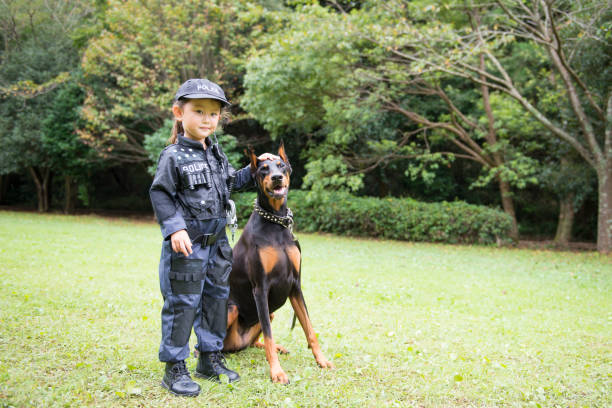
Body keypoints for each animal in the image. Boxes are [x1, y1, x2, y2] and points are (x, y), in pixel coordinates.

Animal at [222, 143, 332, 382]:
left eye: (281, 165)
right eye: (263, 169)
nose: (276, 177)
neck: (276, 222)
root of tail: (235, 344)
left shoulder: (295, 285)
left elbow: (309, 329)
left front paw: (322, 360)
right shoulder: (260, 288)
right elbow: (270, 335)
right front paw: (277, 373)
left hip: (269, 314)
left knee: (255, 342)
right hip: (232, 308)